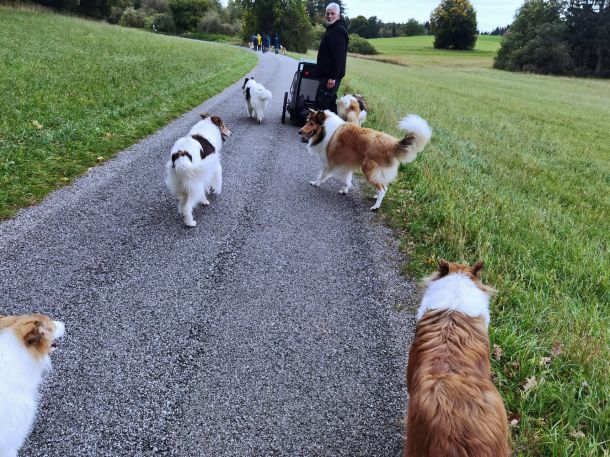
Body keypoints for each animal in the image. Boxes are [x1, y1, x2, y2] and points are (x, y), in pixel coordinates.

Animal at [298, 109, 431, 210]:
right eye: (307, 121)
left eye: (311, 123)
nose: (299, 131)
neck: (327, 129)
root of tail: (392, 144)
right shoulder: (346, 163)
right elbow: (347, 179)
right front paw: (345, 190)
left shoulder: (330, 162)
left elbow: (323, 175)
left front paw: (316, 183)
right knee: (383, 186)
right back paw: (376, 197)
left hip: (368, 170)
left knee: (383, 189)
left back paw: (376, 206)